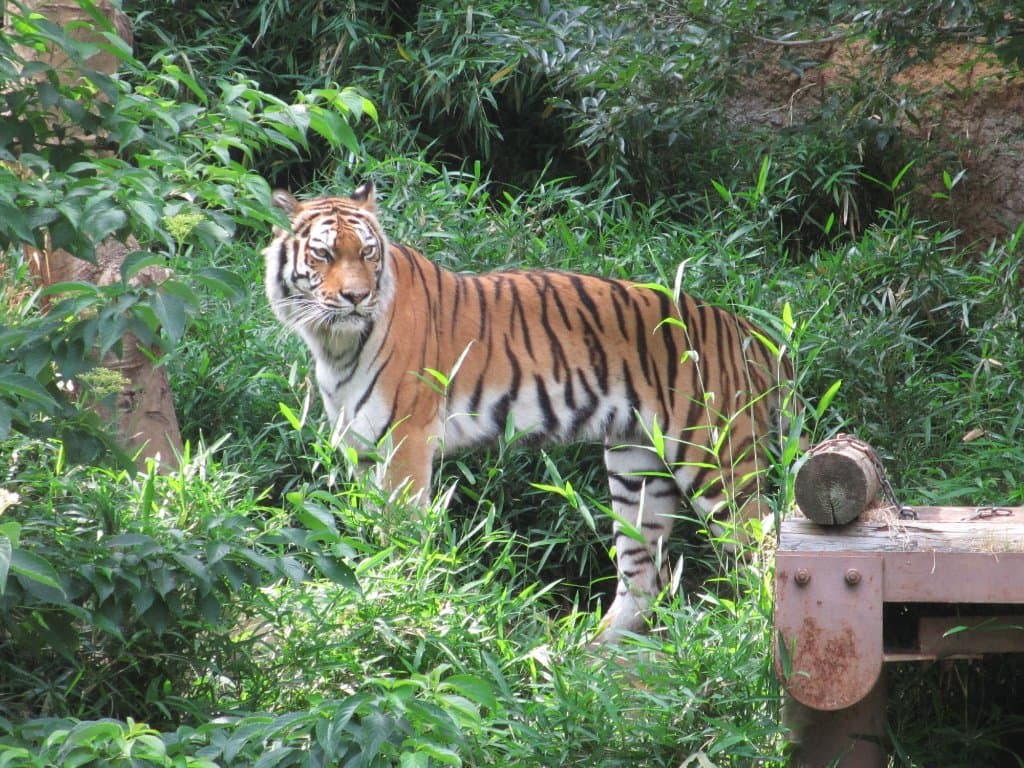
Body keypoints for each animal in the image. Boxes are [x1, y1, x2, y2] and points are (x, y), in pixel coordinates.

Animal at [263, 181, 794, 642]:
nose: (356, 297)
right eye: (323, 254)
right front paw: (367, 586)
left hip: (714, 459)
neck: (333, 343)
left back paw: (756, 635)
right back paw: (585, 652)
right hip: (637, 466)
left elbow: (401, 532)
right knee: (645, 575)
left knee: (766, 542)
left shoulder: (405, 443)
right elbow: (364, 528)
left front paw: (396, 597)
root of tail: (752, 333)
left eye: (367, 252)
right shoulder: (361, 448)